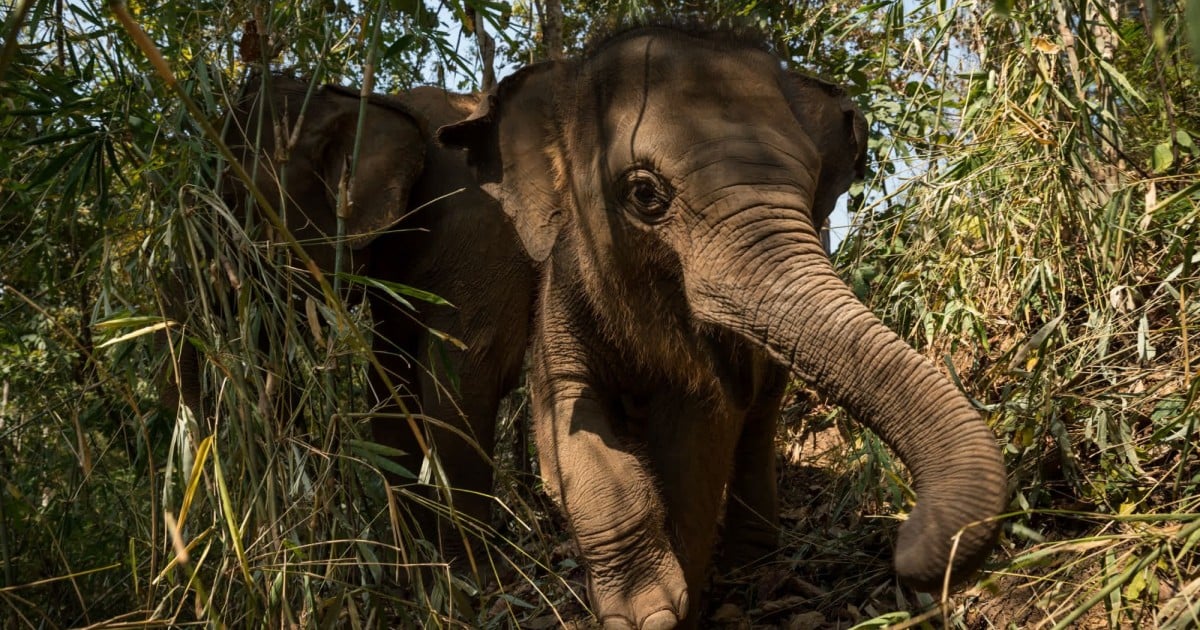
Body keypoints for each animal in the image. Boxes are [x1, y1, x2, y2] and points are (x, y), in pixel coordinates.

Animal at [436, 24, 1008, 628]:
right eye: (645, 194)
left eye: (812, 186)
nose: (910, 550)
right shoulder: (563, 291)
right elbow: (567, 421)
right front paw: (646, 612)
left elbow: (700, 439)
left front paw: (680, 607)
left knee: (758, 422)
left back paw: (752, 563)